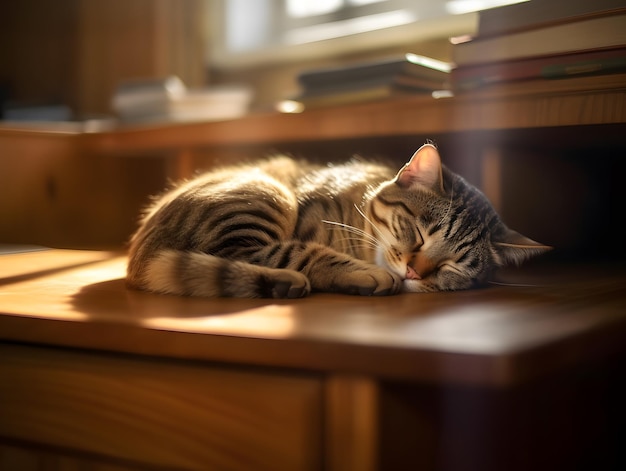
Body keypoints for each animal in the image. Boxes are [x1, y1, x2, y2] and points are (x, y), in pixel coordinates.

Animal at [125, 145, 544, 298]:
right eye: (420, 233)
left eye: (455, 266)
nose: (414, 272)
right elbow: (304, 250)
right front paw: (370, 273)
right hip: (265, 194)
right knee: (253, 256)